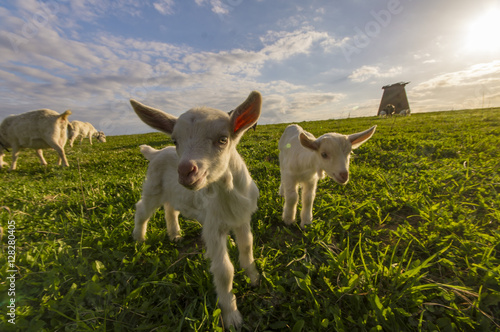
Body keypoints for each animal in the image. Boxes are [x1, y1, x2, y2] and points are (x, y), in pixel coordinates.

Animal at [129, 89, 262, 328]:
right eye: (175, 140)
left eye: (223, 139)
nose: (185, 171)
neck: (227, 193)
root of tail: (155, 152)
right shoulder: (213, 226)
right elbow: (224, 271)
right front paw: (232, 316)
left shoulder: (242, 218)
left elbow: (247, 247)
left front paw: (253, 278)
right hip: (153, 187)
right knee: (143, 209)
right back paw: (139, 238)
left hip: (173, 193)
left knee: (170, 209)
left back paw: (175, 235)